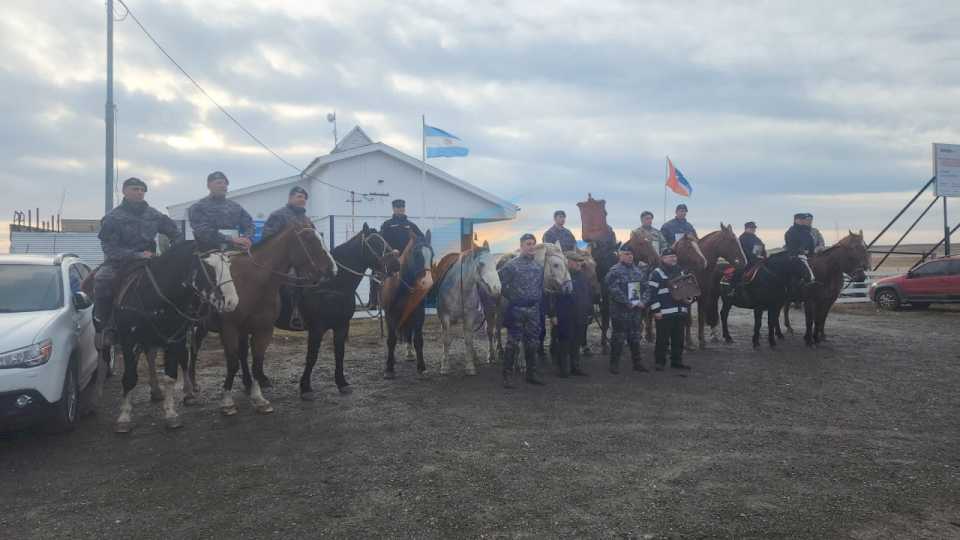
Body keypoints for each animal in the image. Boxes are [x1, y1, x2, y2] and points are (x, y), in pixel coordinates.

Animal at [83, 243, 240, 432]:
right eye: (208, 267)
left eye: (229, 264)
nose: (232, 301)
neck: (155, 296)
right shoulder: (129, 341)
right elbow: (129, 377)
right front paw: (124, 418)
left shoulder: (174, 339)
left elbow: (170, 376)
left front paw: (171, 413)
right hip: (103, 335)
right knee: (103, 359)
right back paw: (94, 400)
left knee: (151, 356)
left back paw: (158, 390)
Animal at [214, 221, 338, 416]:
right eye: (309, 239)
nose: (333, 269)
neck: (252, 281)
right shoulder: (229, 328)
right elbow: (232, 363)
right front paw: (227, 402)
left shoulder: (263, 329)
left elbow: (257, 363)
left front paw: (259, 399)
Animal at [296, 224, 394, 400]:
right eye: (375, 243)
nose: (396, 263)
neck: (331, 285)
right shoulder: (316, 329)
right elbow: (312, 356)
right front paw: (305, 387)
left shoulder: (341, 326)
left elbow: (339, 354)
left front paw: (342, 383)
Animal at [382, 230, 436, 378]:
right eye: (416, 254)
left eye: (432, 254)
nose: (427, 283)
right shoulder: (390, 315)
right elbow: (391, 340)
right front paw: (389, 368)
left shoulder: (418, 313)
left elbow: (418, 339)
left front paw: (421, 367)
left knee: (408, 333)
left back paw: (410, 353)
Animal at [436, 244, 502, 376]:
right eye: (481, 263)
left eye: (494, 263)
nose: (497, 288)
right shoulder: (445, 316)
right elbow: (446, 340)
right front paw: (445, 366)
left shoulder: (469, 316)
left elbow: (468, 340)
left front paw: (470, 366)